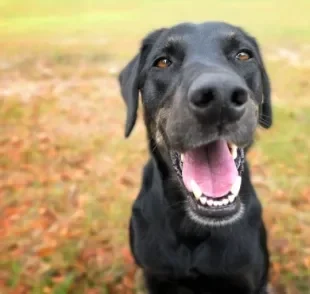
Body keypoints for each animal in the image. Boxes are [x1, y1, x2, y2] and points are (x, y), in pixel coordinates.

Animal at [118, 21, 272, 294]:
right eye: (162, 62)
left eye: (243, 55)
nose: (220, 96)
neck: (194, 228)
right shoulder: (155, 276)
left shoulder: (248, 280)